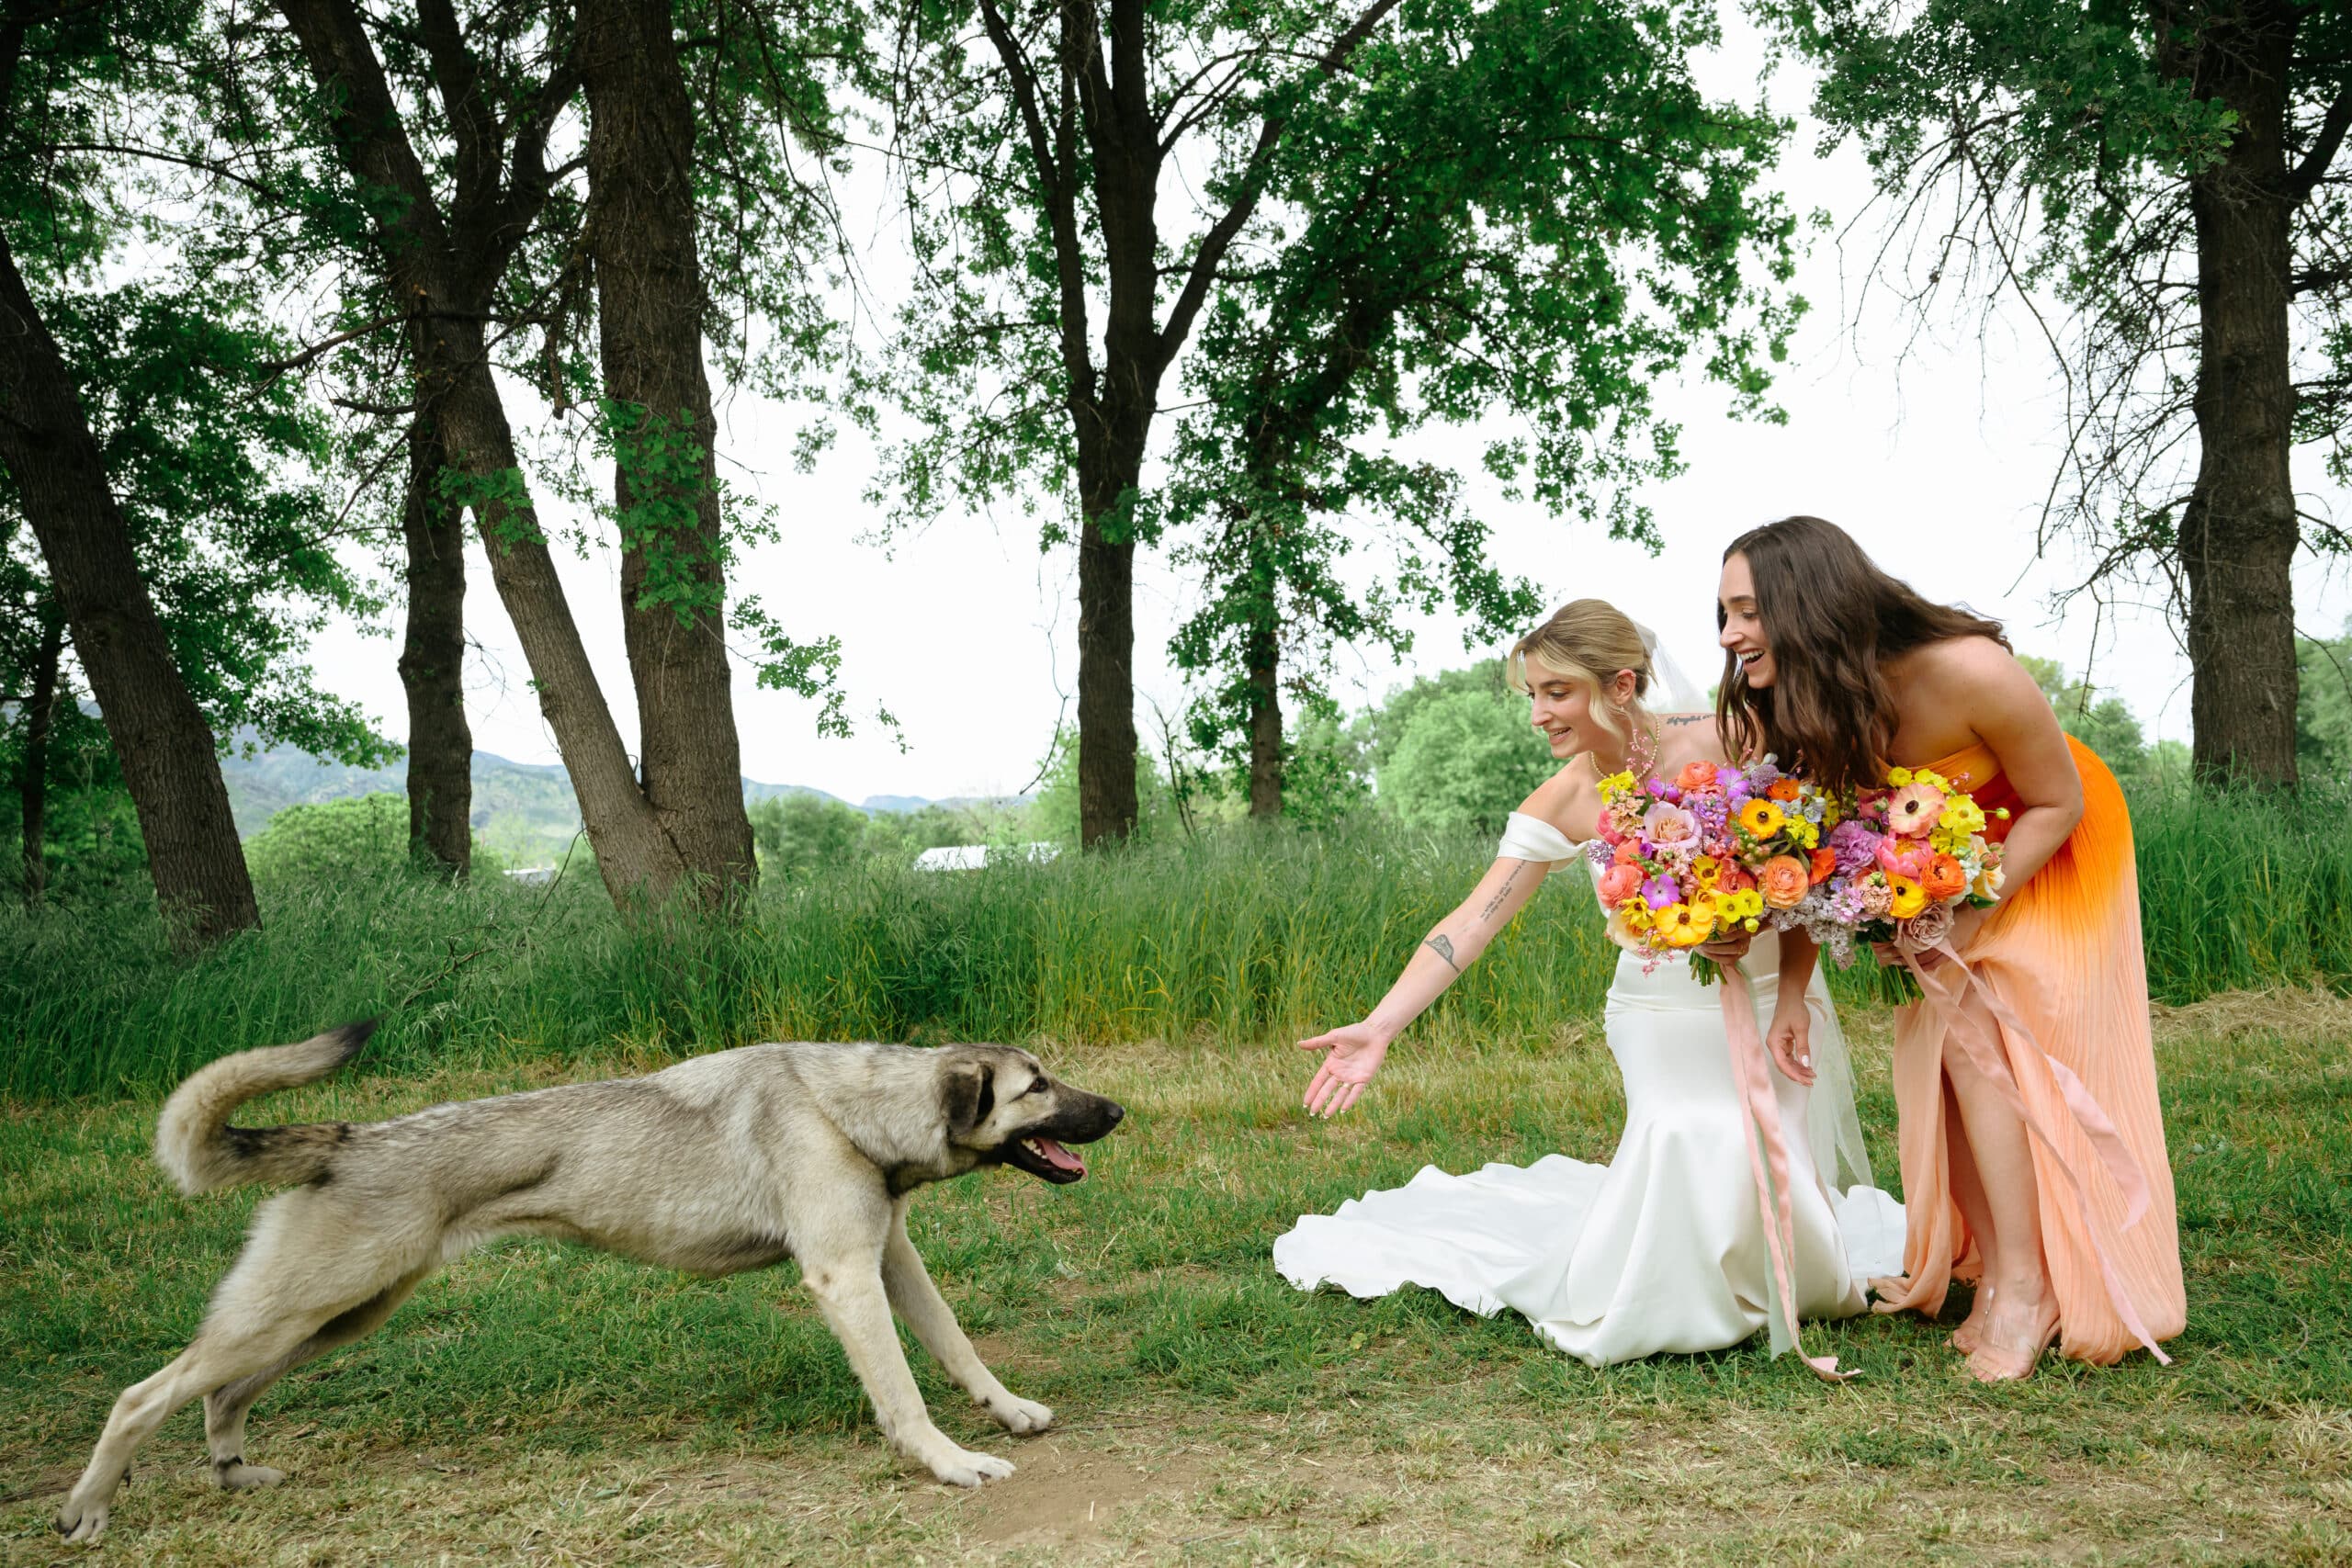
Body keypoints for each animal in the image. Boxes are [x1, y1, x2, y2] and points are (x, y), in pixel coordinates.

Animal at [55, 1020, 1119, 1541]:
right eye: (1036, 1088)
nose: (1116, 1112)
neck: (847, 1106)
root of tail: (347, 1138)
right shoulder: (846, 1279)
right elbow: (904, 1398)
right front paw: (949, 1463)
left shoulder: (892, 1261)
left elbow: (959, 1350)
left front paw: (1009, 1413)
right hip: (294, 1313)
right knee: (141, 1397)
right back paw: (88, 1511)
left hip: (332, 1318)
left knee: (220, 1396)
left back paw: (234, 1471)